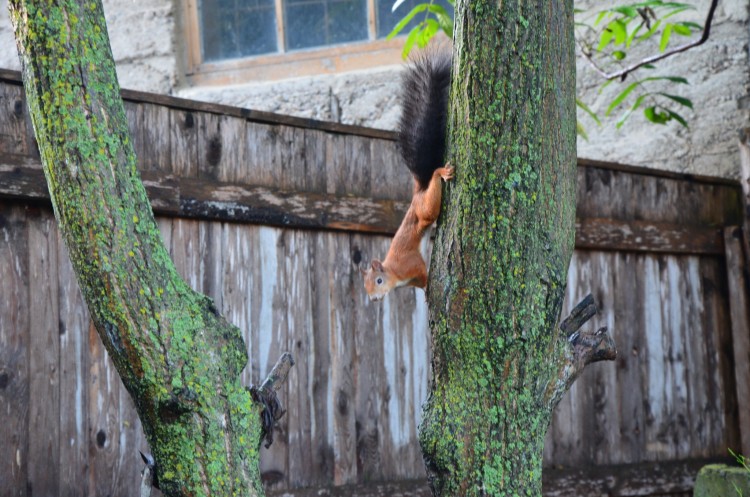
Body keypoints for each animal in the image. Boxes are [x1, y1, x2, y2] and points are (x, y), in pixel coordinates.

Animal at [362, 49, 452, 302]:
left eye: (378, 281)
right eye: (365, 286)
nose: (374, 299)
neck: (394, 273)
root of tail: (418, 192)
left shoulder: (411, 266)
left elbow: (423, 273)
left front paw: (429, 290)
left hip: (426, 209)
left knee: (431, 200)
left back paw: (441, 172)